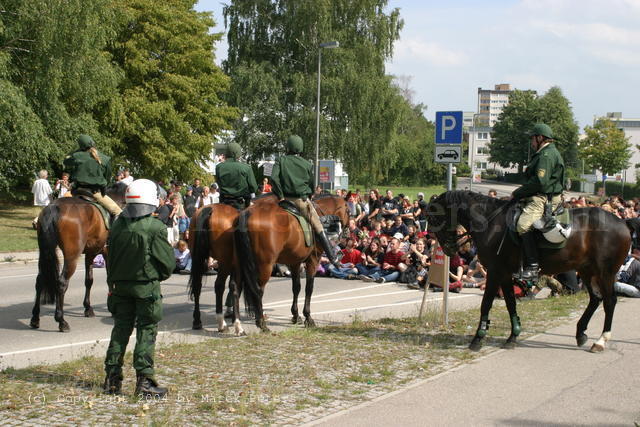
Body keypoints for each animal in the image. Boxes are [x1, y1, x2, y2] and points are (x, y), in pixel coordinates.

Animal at [30, 182, 128, 332]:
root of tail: (53, 206)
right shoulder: (107, 252)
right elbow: (109, 279)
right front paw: (112, 308)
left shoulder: (90, 253)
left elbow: (89, 280)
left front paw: (88, 308)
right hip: (72, 257)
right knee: (62, 282)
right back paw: (61, 320)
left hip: (45, 252)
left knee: (40, 280)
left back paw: (35, 318)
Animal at [234, 196, 350, 332]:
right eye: (348, 210)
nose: (347, 231)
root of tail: (248, 212)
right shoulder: (313, 261)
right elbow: (309, 288)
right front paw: (308, 317)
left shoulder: (295, 263)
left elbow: (296, 287)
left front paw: (295, 315)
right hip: (265, 266)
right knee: (258, 290)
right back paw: (261, 323)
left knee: (236, 289)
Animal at [424, 192, 632, 352]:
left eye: (433, 218)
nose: (449, 250)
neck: (491, 222)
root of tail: (622, 224)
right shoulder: (505, 274)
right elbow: (510, 303)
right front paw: (513, 336)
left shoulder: (495, 272)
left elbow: (486, 303)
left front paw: (478, 338)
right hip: (587, 271)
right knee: (595, 299)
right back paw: (581, 333)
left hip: (605, 273)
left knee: (609, 301)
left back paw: (601, 341)